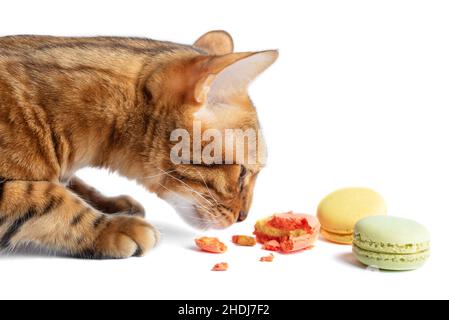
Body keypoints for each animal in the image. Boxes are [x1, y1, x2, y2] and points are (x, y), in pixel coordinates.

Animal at [0, 31, 276, 258]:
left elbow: (73, 185)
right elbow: (46, 197)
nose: (243, 218)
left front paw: (110, 203)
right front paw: (114, 227)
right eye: (242, 173)